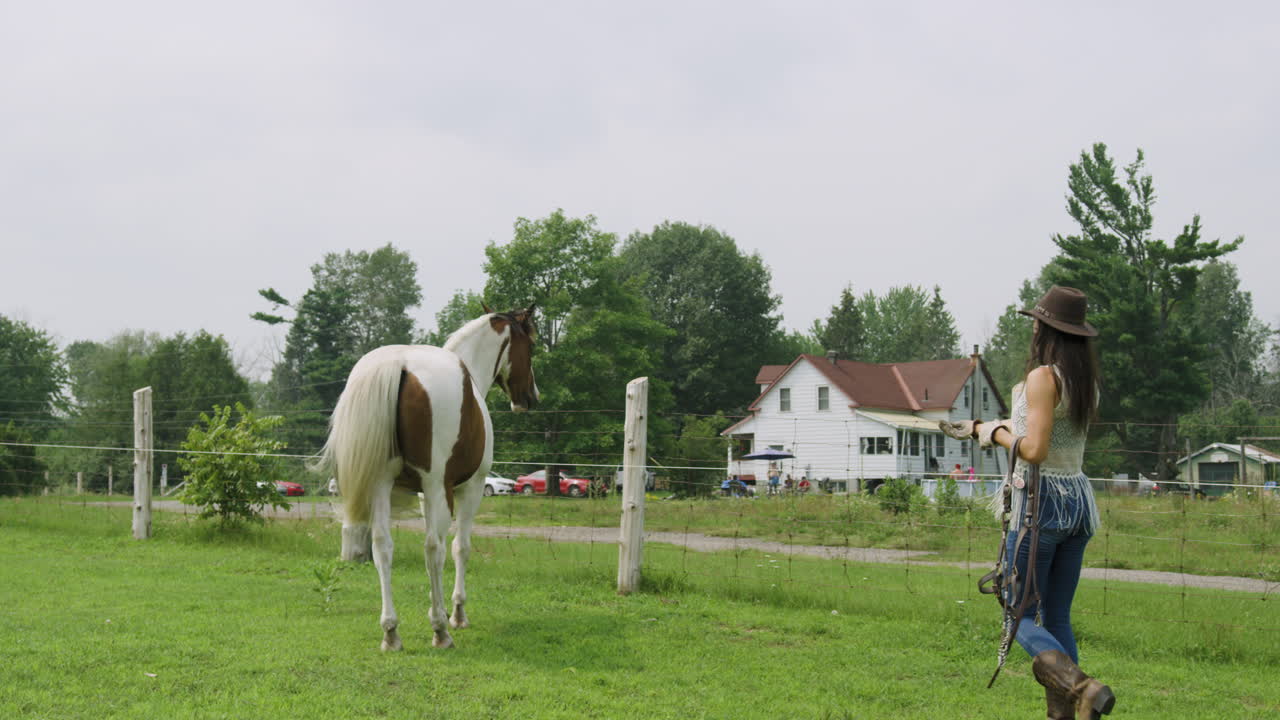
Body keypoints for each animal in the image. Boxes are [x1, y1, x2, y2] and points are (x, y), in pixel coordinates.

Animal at [319, 305, 538, 651]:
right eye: (530, 346)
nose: (530, 397)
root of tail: (399, 364)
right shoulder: (469, 489)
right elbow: (460, 547)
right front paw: (456, 613)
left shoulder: (423, 495)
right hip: (437, 487)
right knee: (432, 548)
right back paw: (440, 630)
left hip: (381, 486)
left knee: (383, 546)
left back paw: (391, 632)